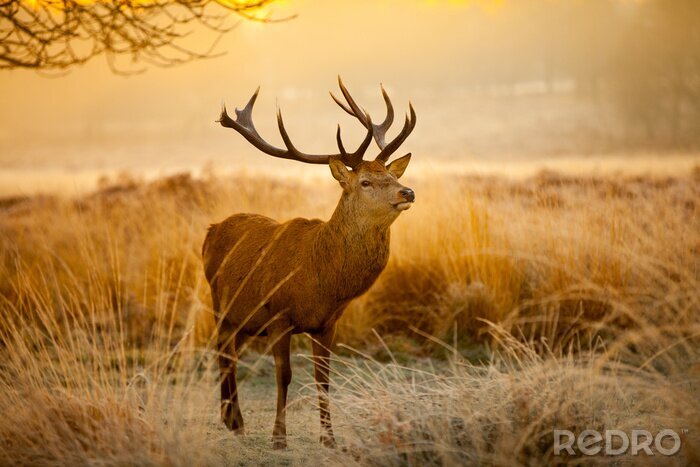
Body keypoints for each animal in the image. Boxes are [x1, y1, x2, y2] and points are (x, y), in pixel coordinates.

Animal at [202, 77, 416, 449]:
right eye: (365, 181)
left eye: (392, 175)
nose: (408, 192)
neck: (320, 280)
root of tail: (209, 231)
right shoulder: (279, 314)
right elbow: (284, 375)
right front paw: (278, 437)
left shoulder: (326, 323)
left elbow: (324, 378)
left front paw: (329, 438)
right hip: (220, 305)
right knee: (222, 352)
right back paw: (235, 421)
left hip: (244, 319)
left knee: (230, 354)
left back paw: (233, 422)